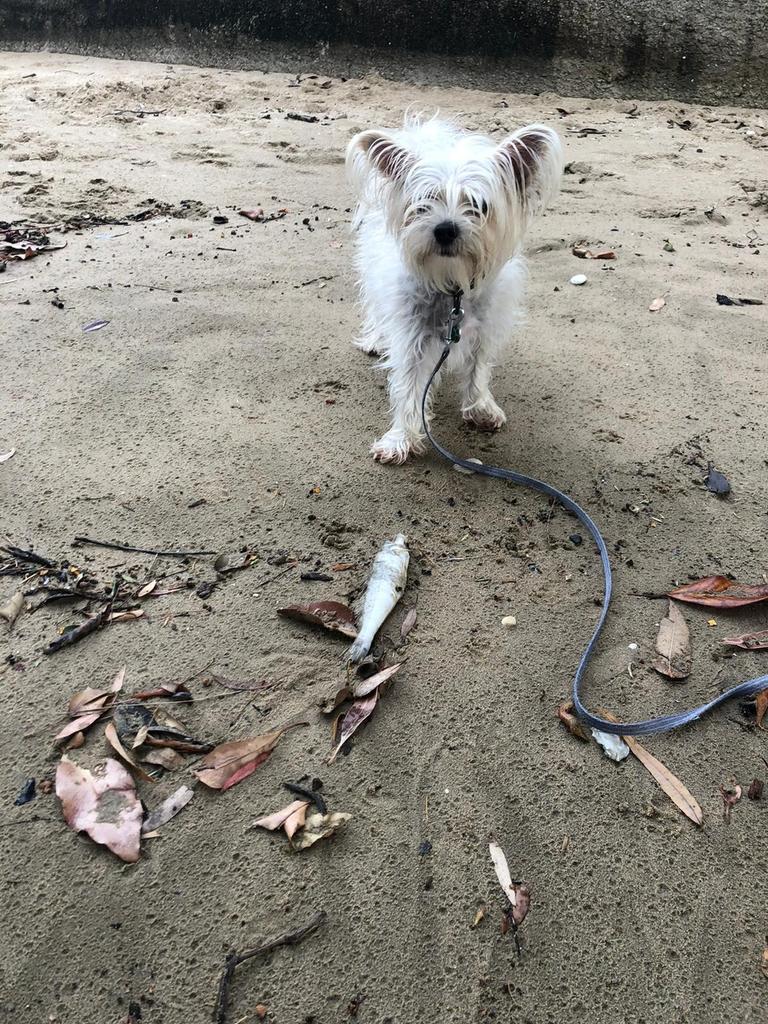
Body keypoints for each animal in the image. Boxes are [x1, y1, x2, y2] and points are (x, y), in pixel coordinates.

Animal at [346, 114, 561, 462]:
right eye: (423, 203)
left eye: (479, 205)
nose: (445, 229)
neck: (453, 287)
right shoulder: (412, 336)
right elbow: (407, 384)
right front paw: (401, 438)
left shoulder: (486, 327)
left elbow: (478, 367)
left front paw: (479, 406)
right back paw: (376, 338)